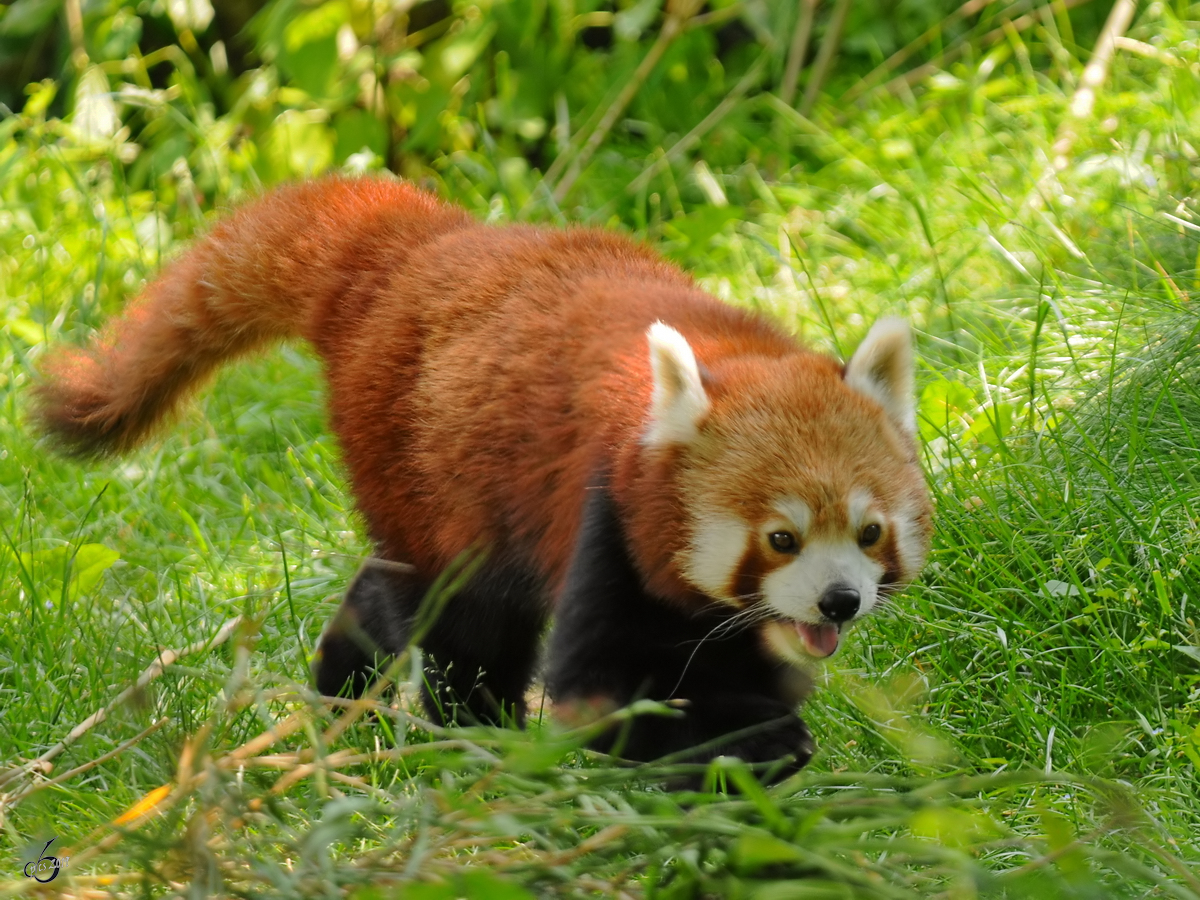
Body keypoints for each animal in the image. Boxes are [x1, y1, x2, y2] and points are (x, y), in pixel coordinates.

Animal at [32, 177, 931, 782]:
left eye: (869, 531)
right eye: (780, 538)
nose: (839, 601)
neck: (731, 353)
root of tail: (416, 246)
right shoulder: (603, 510)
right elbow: (596, 684)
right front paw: (721, 747)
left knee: (388, 590)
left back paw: (340, 688)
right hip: (423, 459)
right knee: (465, 619)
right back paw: (478, 736)